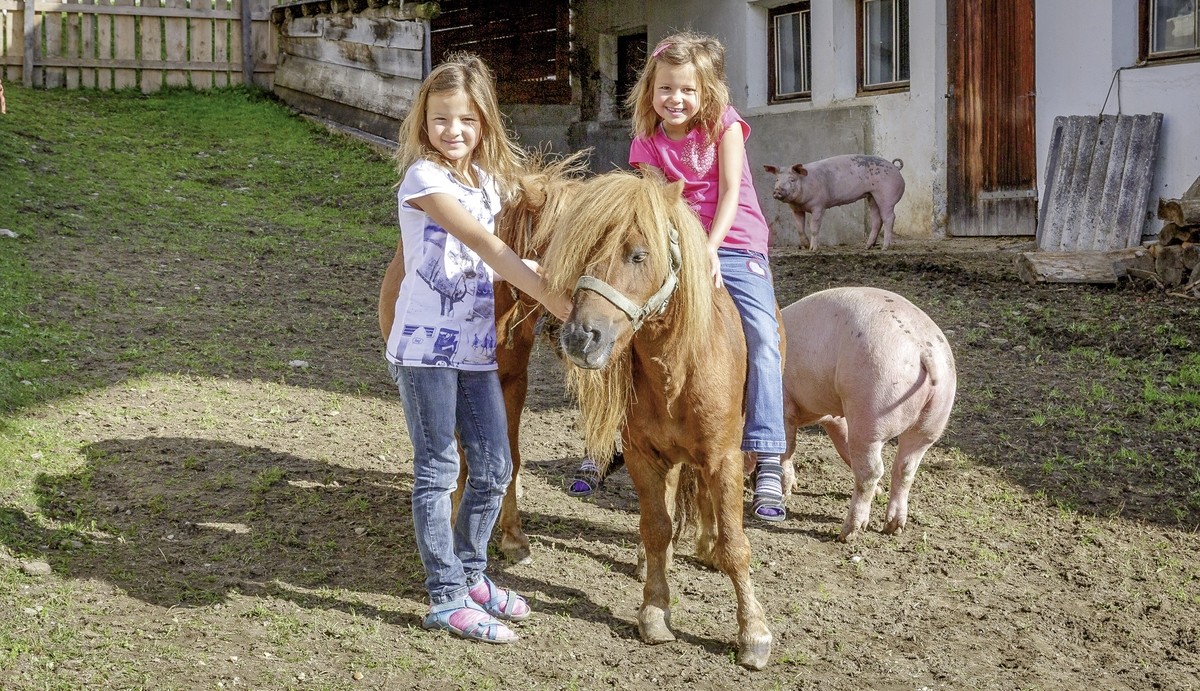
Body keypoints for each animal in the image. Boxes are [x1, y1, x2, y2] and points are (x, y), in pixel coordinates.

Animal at [547, 171, 777, 671]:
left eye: (638, 254)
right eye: (585, 253)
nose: (579, 337)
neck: (678, 367)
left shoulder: (724, 457)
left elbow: (736, 544)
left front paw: (753, 633)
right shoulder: (644, 457)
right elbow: (656, 528)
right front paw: (654, 611)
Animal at [763, 154, 902, 250]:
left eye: (792, 179)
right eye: (777, 179)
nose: (777, 191)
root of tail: (896, 168)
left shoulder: (819, 206)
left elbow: (814, 227)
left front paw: (813, 249)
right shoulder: (795, 209)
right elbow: (799, 228)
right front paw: (805, 246)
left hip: (886, 195)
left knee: (889, 217)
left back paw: (884, 248)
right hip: (872, 196)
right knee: (877, 219)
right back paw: (867, 247)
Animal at [777, 284, 955, 539]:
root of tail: (923, 349)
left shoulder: (785, 405)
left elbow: (786, 449)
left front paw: (785, 493)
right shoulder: (834, 416)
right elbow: (841, 444)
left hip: (873, 406)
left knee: (872, 471)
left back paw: (848, 533)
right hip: (931, 422)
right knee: (905, 468)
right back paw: (893, 528)